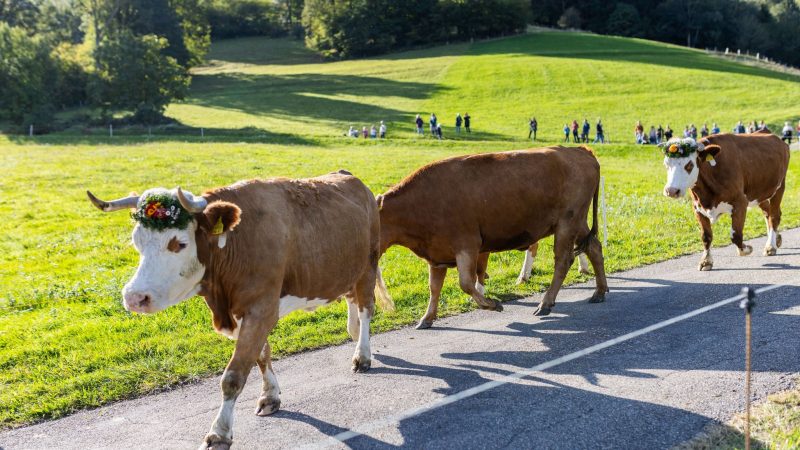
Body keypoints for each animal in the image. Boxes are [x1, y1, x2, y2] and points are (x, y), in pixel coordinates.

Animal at [376, 146, 608, 326]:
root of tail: (579, 151)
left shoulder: (467, 244)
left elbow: (466, 283)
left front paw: (492, 304)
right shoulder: (437, 254)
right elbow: (434, 287)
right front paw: (427, 318)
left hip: (567, 223)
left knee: (563, 261)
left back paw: (545, 303)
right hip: (578, 223)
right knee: (594, 247)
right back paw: (599, 292)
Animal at [660, 132, 792, 268]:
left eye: (689, 165)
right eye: (666, 164)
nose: (671, 191)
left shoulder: (740, 202)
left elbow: (736, 235)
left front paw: (746, 249)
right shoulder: (697, 207)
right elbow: (706, 236)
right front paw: (706, 261)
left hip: (779, 187)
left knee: (774, 216)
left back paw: (771, 246)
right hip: (759, 193)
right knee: (768, 213)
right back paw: (776, 239)